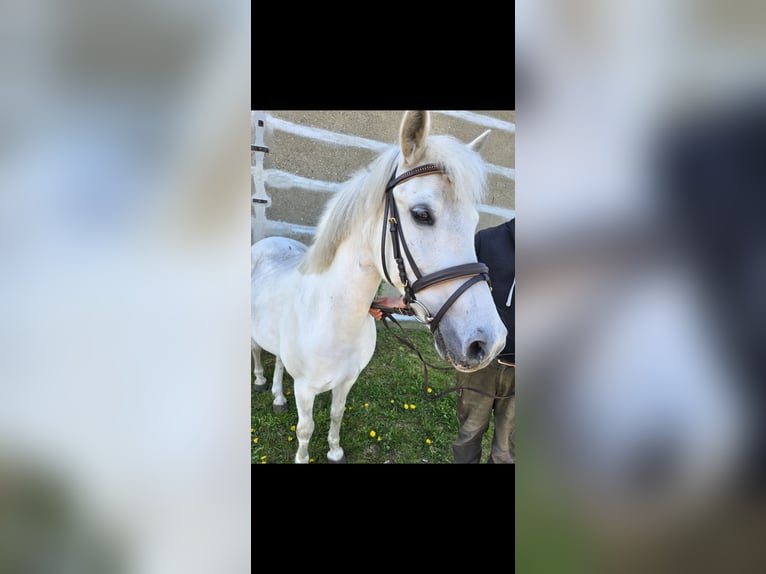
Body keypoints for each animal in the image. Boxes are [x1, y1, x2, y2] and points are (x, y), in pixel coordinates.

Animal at [251, 110, 507, 463]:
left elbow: (336, 415)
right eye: (421, 214)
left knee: (277, 361)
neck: (334, 321)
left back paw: (277, 397)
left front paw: (335, 452)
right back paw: (262, 383)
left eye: (474, 222)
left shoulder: (346, 382)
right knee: (258, 355)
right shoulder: (305, 389)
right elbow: (305, 430)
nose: (489, 344)